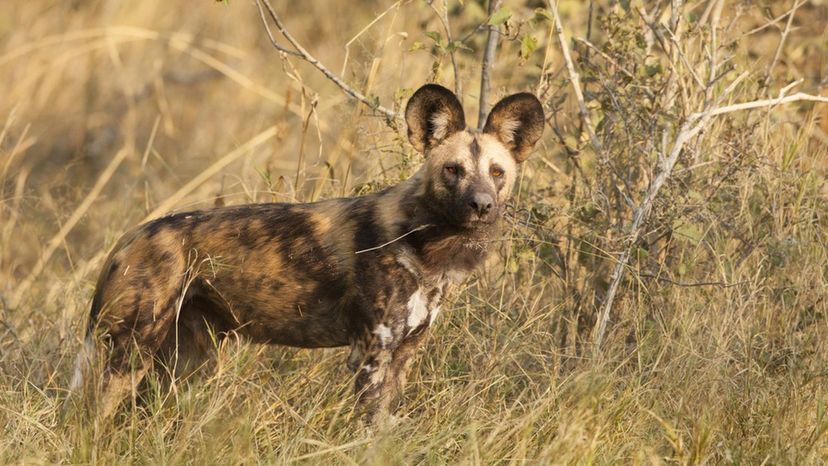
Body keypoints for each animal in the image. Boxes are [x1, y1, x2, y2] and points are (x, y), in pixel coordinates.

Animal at [74, 83, 548, 422]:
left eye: (497, 172)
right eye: (453, 170)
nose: (481, 206)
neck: (426, 245)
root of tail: (133, 235)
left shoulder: (403, 354)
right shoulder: (371, 355)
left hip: (187, 360)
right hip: (131, 352)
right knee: (93, 418)